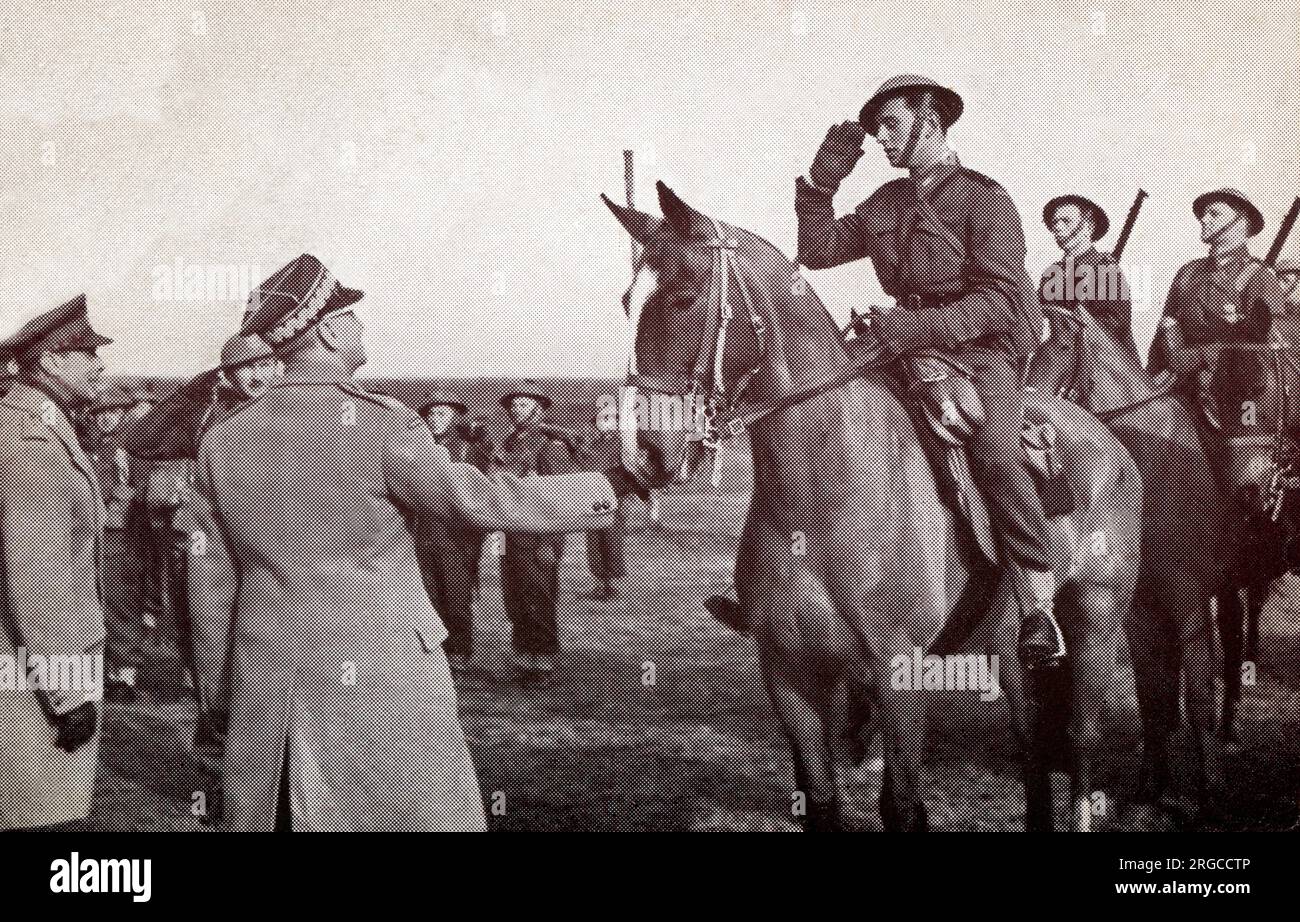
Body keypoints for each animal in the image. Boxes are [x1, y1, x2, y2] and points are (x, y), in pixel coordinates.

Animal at [603, 183, 1144, 832]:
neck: (820, 490)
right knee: (1034, 745)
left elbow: (902, 805)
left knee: (1082, 743)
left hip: (1096, 623)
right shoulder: (791, 678)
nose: (638, 453)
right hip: (1012, 655)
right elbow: (822, 804)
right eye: (628, 300)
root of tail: (1106, 437)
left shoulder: (898, 675)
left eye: (684, 294)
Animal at [1024, 305, 1227, 821]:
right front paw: (1150, 787)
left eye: (1058, 348)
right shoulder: (1139, 612)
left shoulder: (1188, 600)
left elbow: (1198, 694)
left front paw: (1210, 795)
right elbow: (1153, 698)